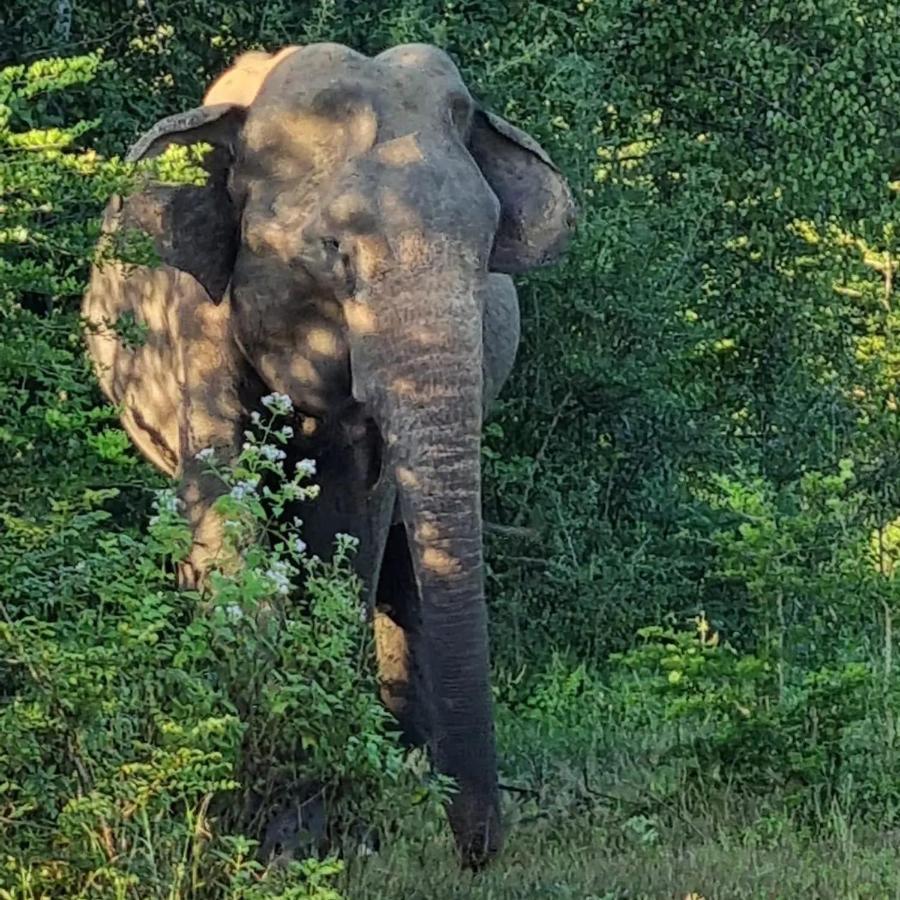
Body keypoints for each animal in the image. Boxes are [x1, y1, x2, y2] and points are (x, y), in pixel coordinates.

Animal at [84, 42, 576, 864]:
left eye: (485, 256)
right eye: (334, 251)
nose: (477, 854)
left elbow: (350, 525)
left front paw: (321, 821)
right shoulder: (192, 318)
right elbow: (224, 504)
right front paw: (258, 807)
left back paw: (408, 757)